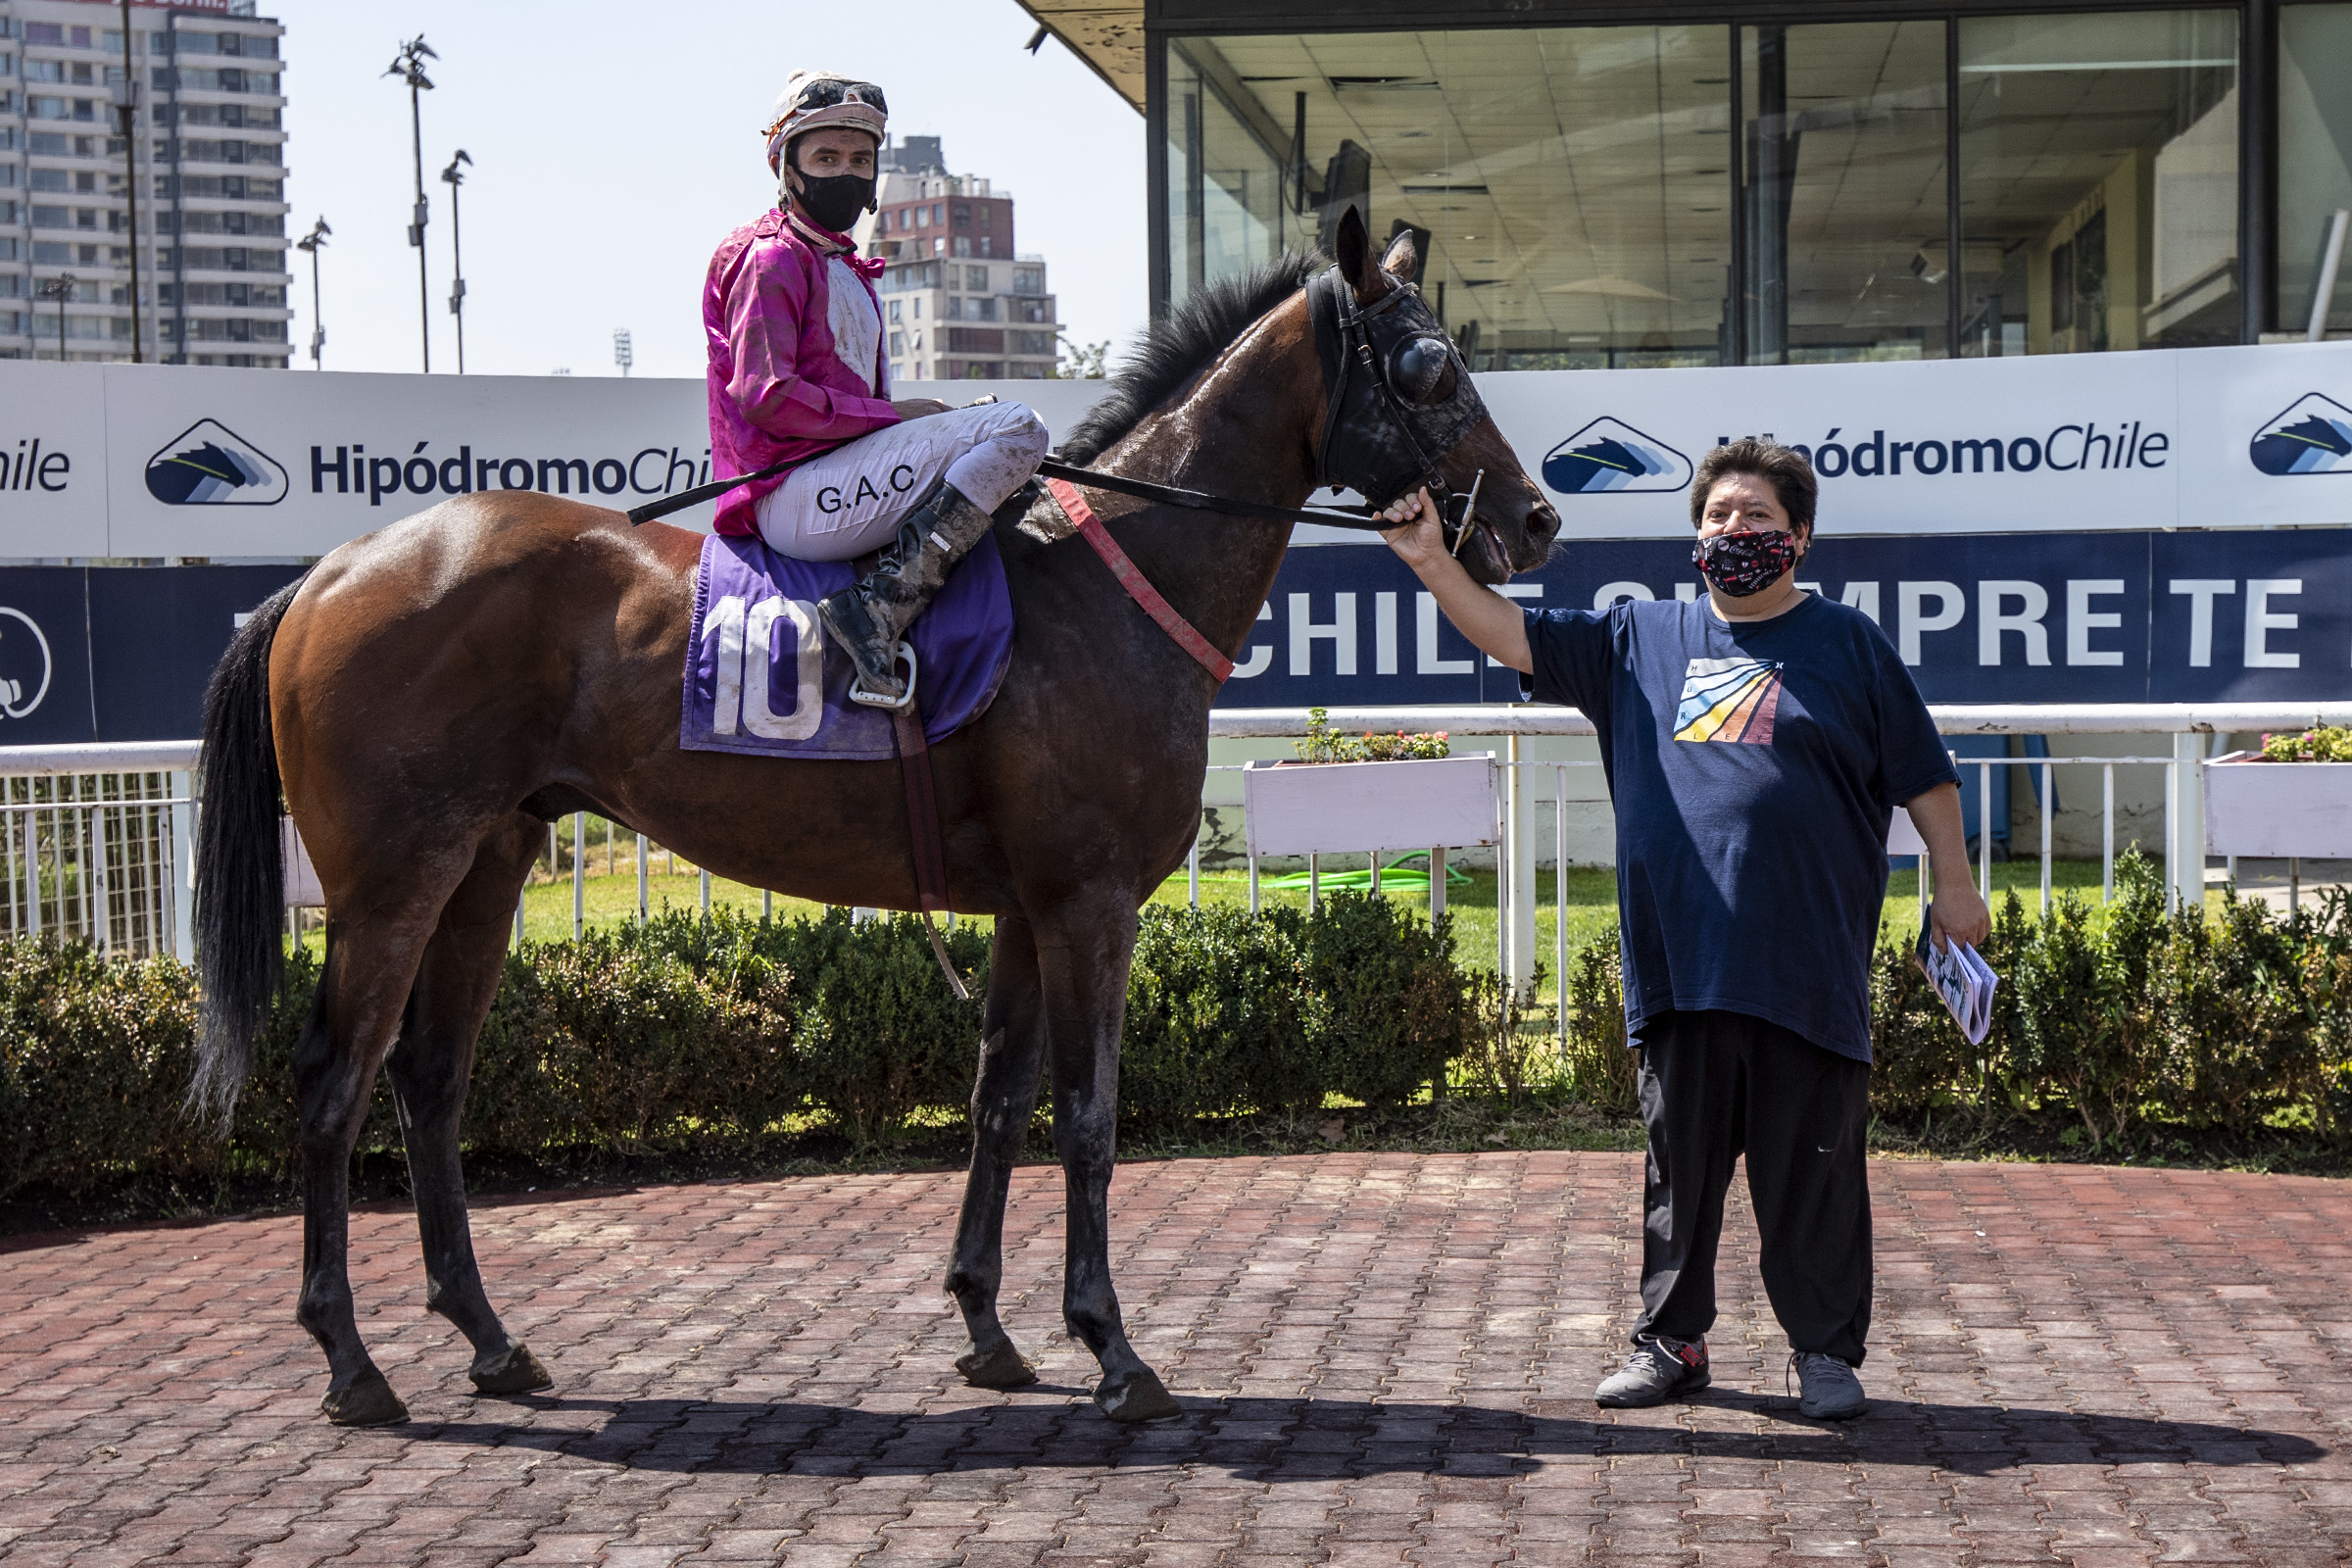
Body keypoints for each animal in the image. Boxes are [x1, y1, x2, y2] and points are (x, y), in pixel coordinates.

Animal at [190, 210, 1561, 1427]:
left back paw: (489, 1339)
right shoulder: (1090, 900)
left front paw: (989, 1327)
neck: (1113, 582)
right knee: (333, 1081)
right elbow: (1090, 1117)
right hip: (393, 877)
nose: (1536, 518)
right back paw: (350, 1363)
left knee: (429, 1079)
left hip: (491, 856)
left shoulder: (1028, 905)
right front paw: (1114, 1351)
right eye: (1430, 366)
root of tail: (324, 573)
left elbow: (1001, 1100)